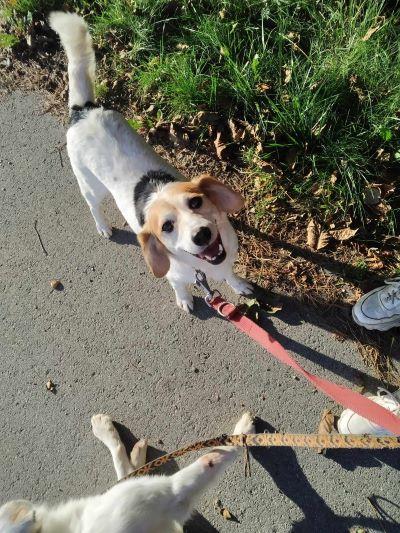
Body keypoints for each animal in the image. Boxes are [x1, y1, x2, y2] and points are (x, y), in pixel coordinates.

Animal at [49, 12, 253, 312]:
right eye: (167, 227)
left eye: (196, 202)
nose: (202, 235)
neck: (204, 266)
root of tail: (83, 110)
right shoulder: (176, 275)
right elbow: (179, 286)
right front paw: (185, 300)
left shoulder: (225, 257)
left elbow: (230, 273)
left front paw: (239, 285)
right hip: (90, 185)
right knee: (93, 205)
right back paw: (102, 226)